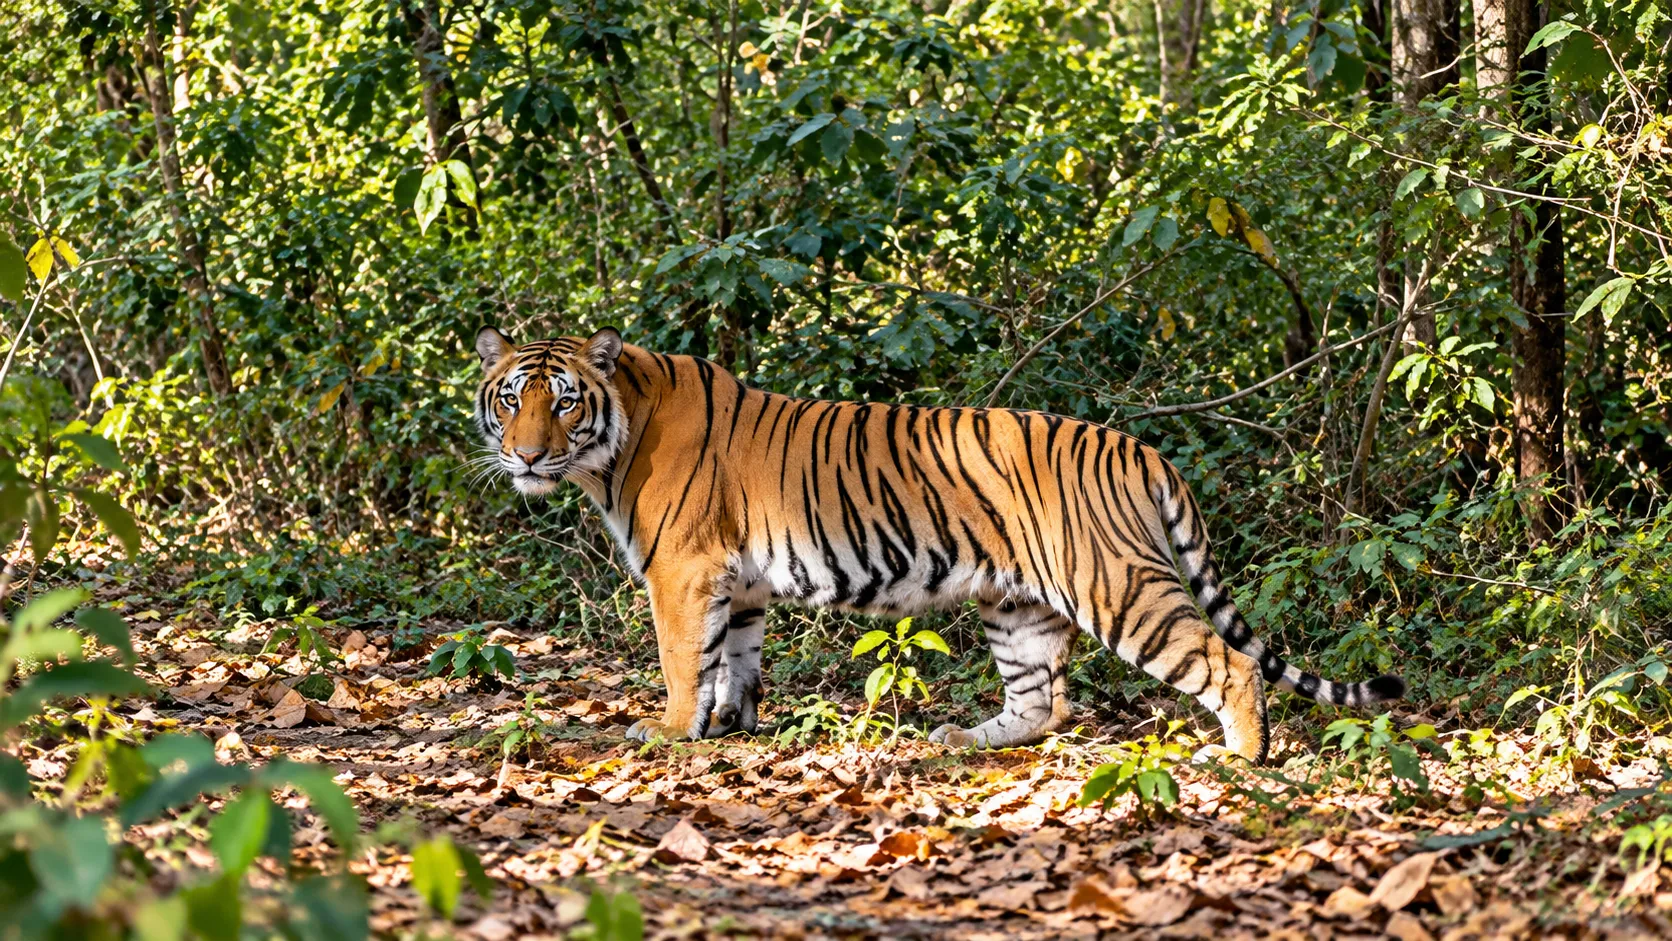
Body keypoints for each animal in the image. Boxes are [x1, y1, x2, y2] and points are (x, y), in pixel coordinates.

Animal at [471, 325, 1403, 763]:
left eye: (562, 401)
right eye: (512, 397)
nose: (525, 455)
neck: (611, 445)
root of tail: (1141, 445)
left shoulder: (683, 571)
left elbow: (678, 659)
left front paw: (667, 731)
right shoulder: (737, 584)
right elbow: (733, 658)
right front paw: (733, 724)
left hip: (1118, 586)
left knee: (1227, 661)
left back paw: (1241, 757)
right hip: (1018, 602)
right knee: (1042, 703)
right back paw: (964, 738)